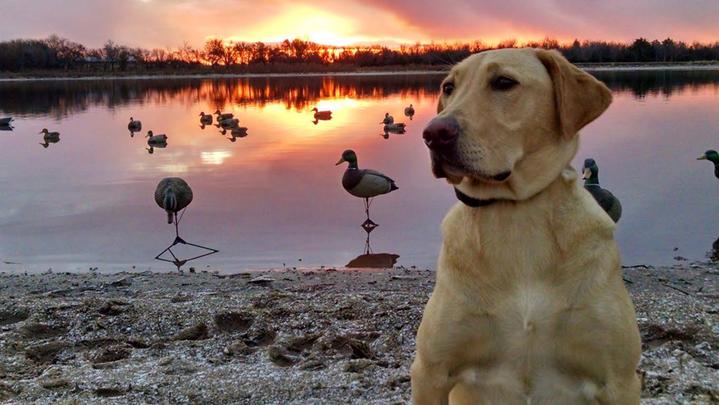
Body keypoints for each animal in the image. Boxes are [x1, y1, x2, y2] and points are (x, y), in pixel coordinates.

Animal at [411, 48, 641, 404]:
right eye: (449, 87)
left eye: (504, 82)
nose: (433, 134)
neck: (517, 214)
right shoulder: (430, 373)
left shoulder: (620, 380)